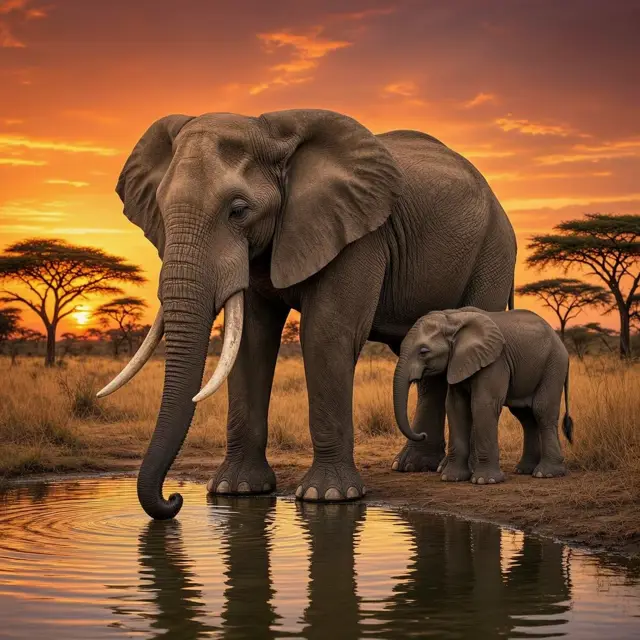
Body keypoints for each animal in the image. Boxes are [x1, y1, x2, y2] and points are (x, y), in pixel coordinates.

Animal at [96, 108, 517, 519]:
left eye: (238, 211)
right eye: (161, 209)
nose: (174, 500)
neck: (270, 134)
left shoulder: (360, 233)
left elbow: (326, 333)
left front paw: (327, 496)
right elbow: (252, 341)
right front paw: (236, 491)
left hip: (493, 251)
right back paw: (415, 466)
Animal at [394, 307, 573, 485]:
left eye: (424, 352)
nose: (422, 435)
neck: (452, 318)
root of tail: (561, 344)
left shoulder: (495, 360)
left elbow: (483, 404)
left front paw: (485, 480)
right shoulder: (458, 362)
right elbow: (455, 406)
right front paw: (451, 478)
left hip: (554, 365)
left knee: (542, 411)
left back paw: (546, 473)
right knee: (525, 417)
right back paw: (524, 470)